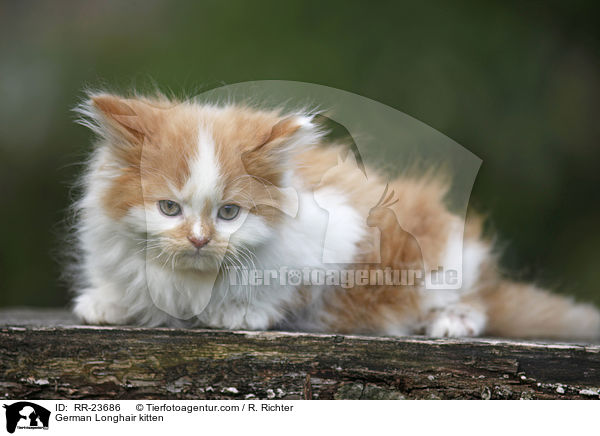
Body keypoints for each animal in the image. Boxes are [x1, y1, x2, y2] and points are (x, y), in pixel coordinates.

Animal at [71, 92, 600, 340]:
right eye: (168, 208)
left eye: (229, 213)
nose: (200, 240)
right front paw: (109, 302)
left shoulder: (341, 232)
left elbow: (288, 287)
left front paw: (240, 310)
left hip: (442, 262)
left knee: (477, 300)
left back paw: (451, 321)